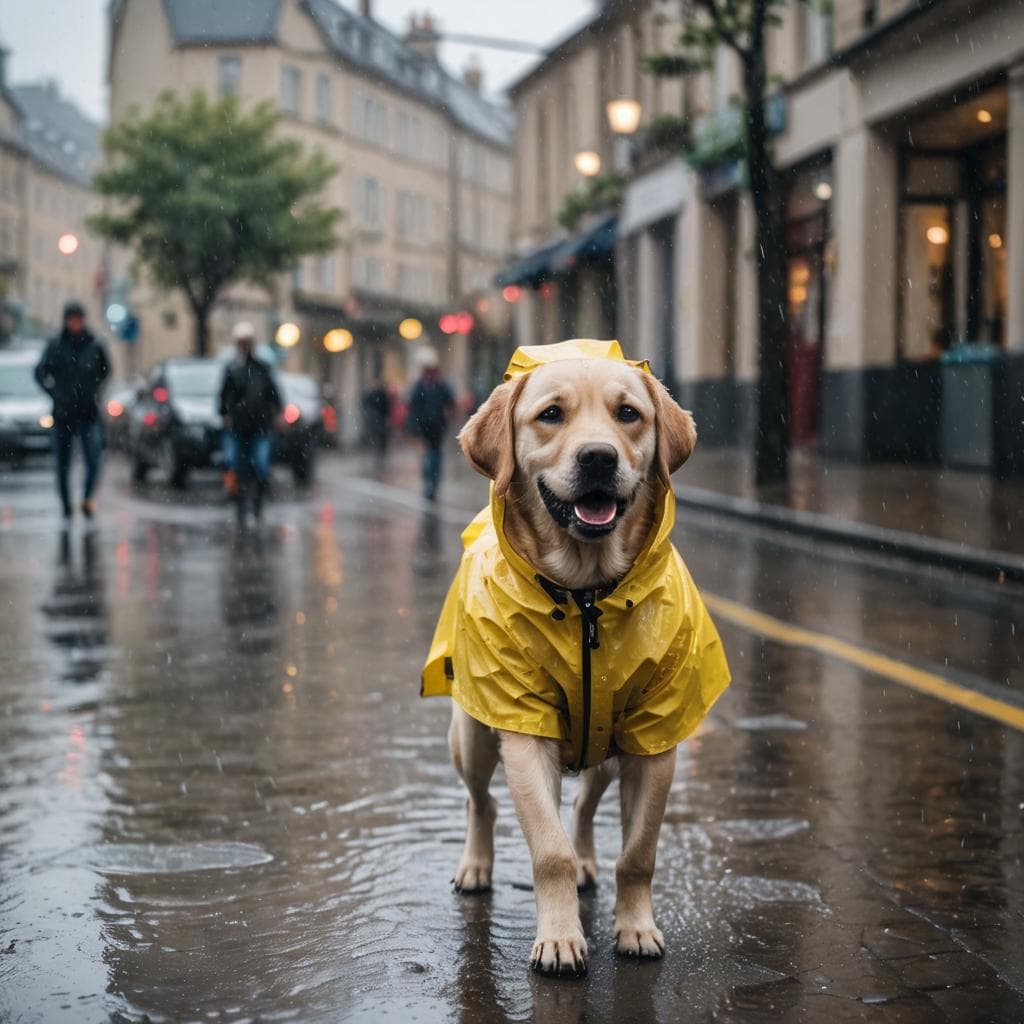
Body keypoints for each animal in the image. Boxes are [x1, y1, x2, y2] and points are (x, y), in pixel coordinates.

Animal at [419, 342, 733, 974]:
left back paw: (589, 863)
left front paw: (635, 928)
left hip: (604, 752)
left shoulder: (656, 741)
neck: (587, 593)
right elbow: (550, 852)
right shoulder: (524, 734)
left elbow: (636, 854)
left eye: (628, 413)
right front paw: (561, 939)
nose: (597, 458)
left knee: (585, 813)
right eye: (551, 415)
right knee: (480, 802)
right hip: (473, 737)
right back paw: (476, 866)